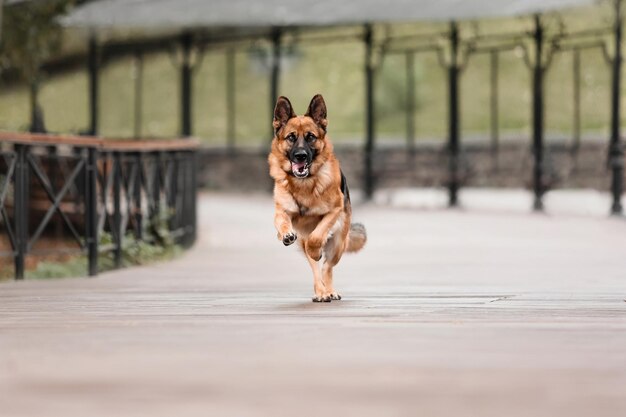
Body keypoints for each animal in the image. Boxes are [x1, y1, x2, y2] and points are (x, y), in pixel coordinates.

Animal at [268, 94, 366, 302]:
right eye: (291, 137)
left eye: (310, 137)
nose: (300, 156)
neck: (304, 184)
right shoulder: (281, 211)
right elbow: (283, 223)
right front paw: (285, 234)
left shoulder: (333, 211)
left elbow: (317, 236)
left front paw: (316, 249)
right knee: (315, 269)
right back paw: (321, 292)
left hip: (338, 245)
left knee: (327, 266)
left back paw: (328, 290)